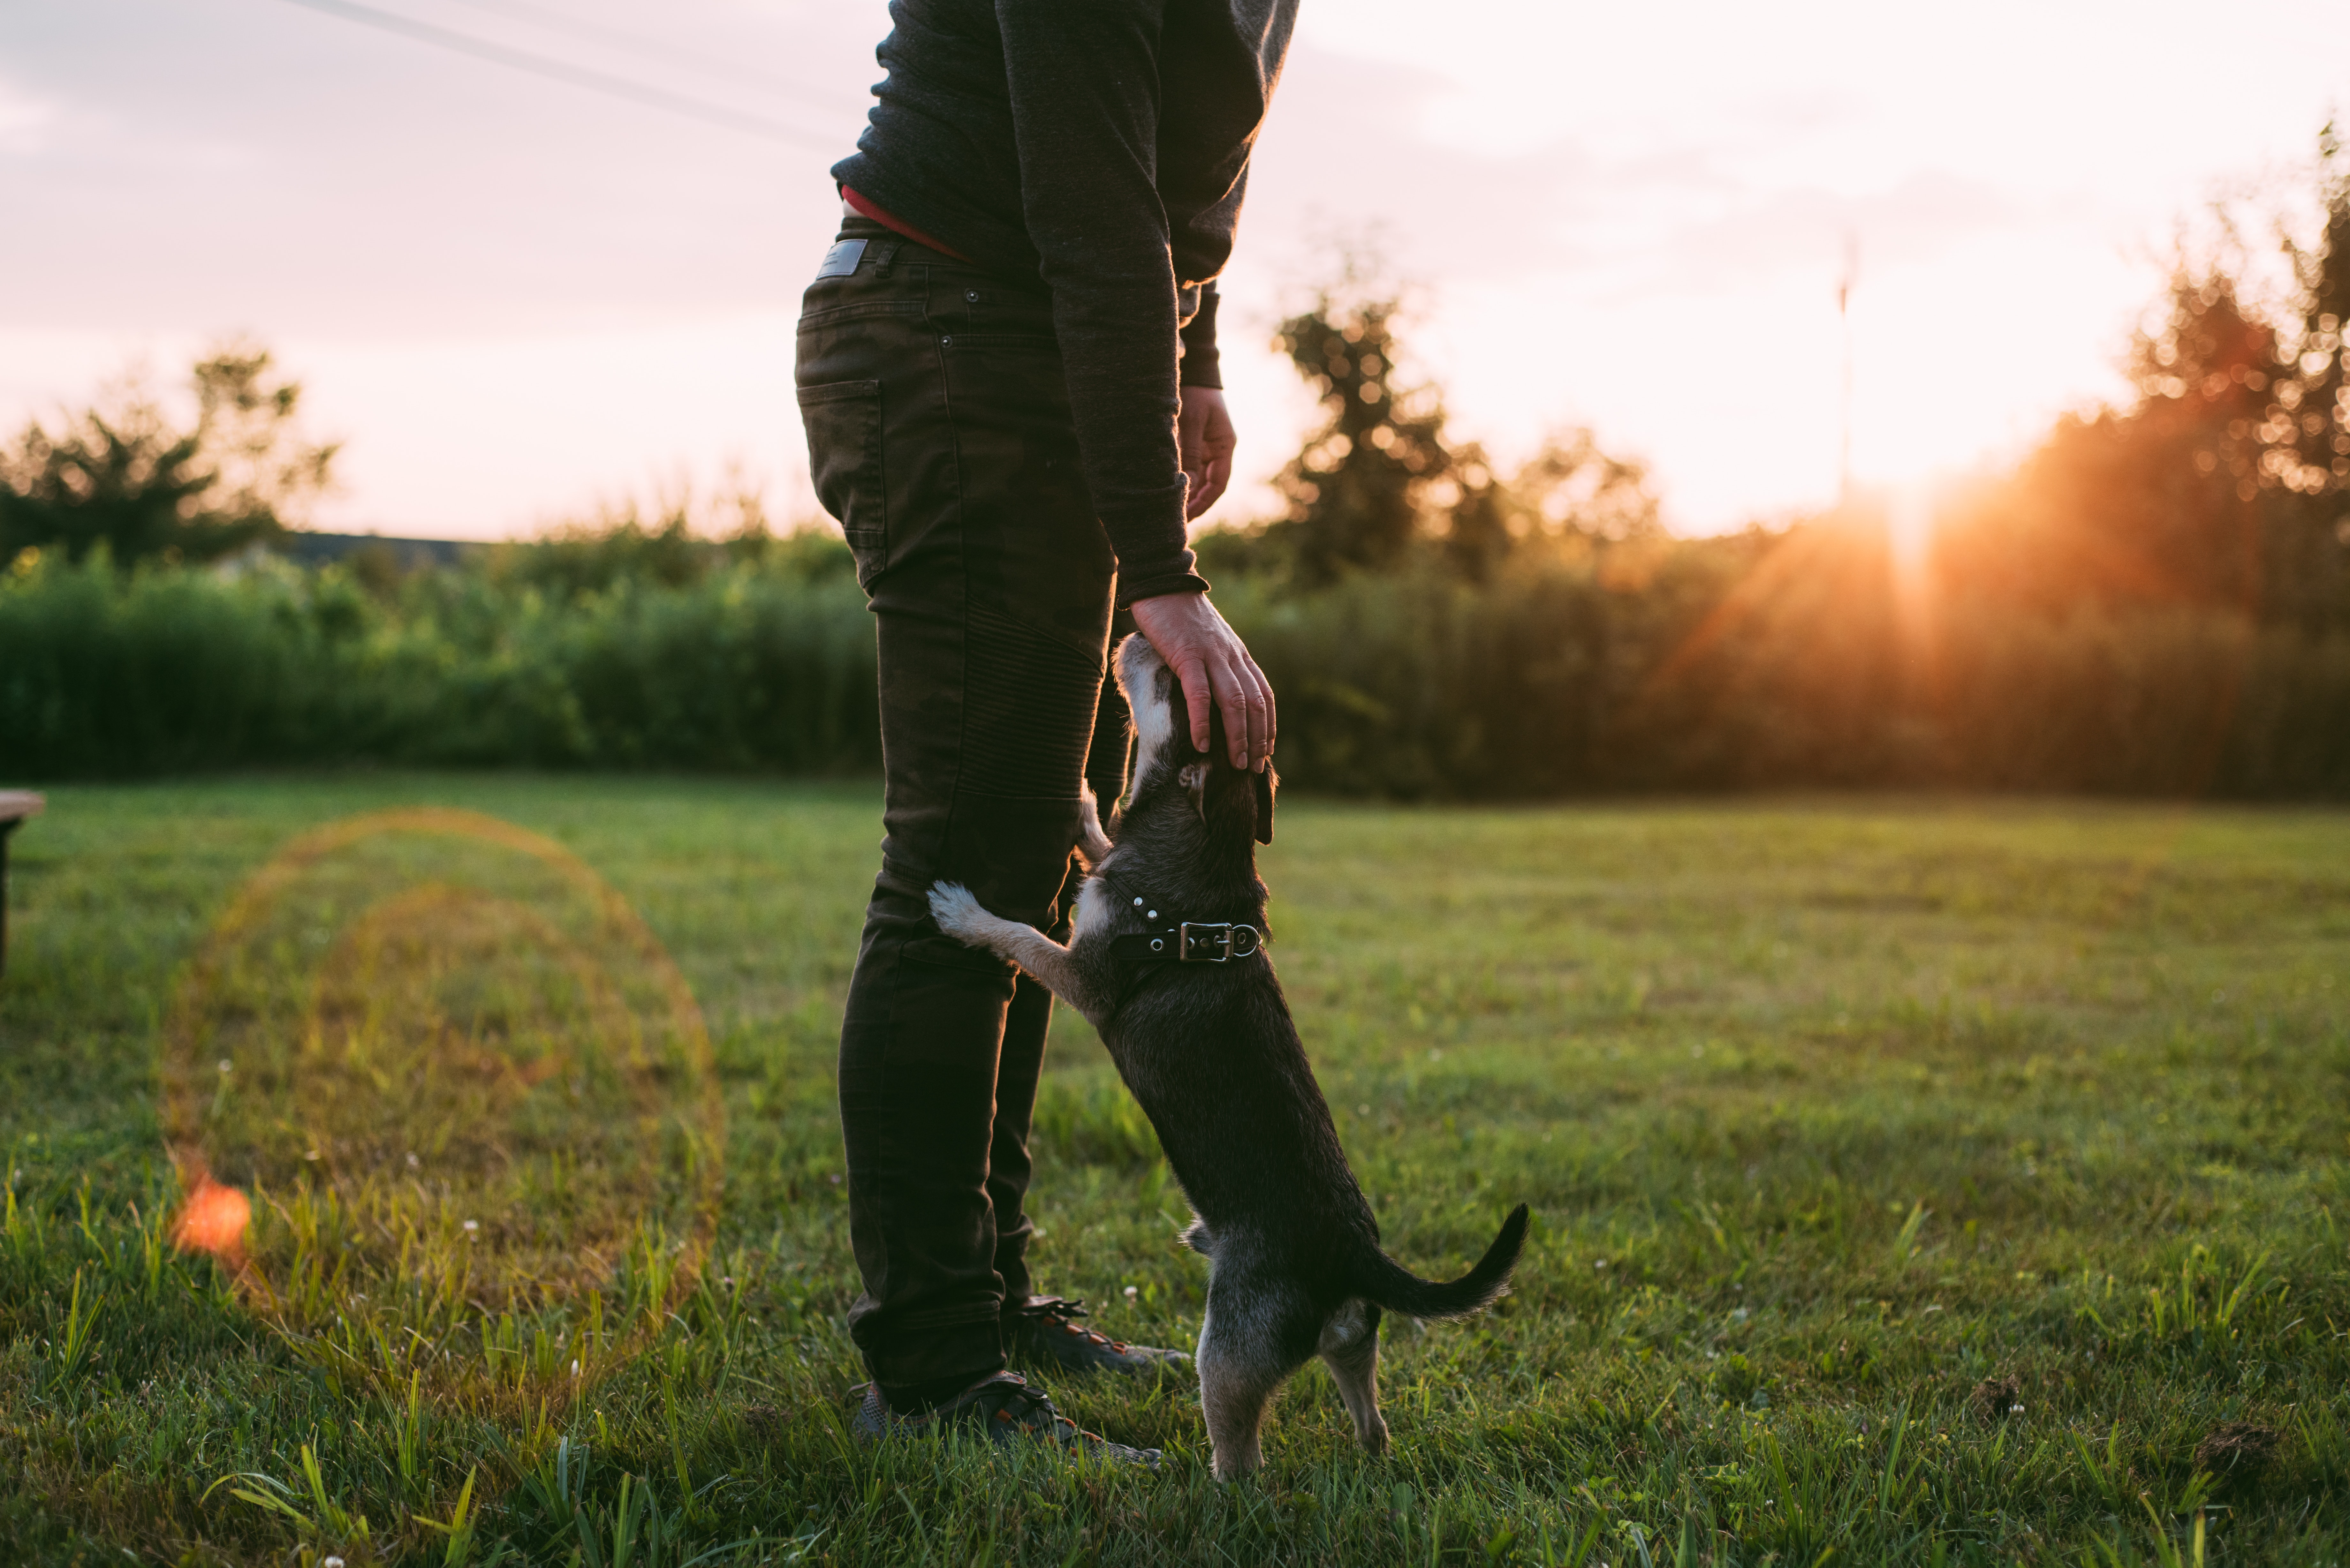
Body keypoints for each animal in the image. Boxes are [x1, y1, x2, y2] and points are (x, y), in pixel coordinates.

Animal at [926, 630, 1532, 1476]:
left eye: (1171, 682)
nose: (1135, 632)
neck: (1205, 842)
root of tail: (1350, 1254)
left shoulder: (1086, 976)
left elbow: (1020, 936)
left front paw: (964, 912)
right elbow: (1098, 839)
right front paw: (1082, 795)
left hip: (1228, 1352)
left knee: (1242, 1459)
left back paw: (1203, 1484)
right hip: (1352, 1341)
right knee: (1371, 1414)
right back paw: (1368, 1453)